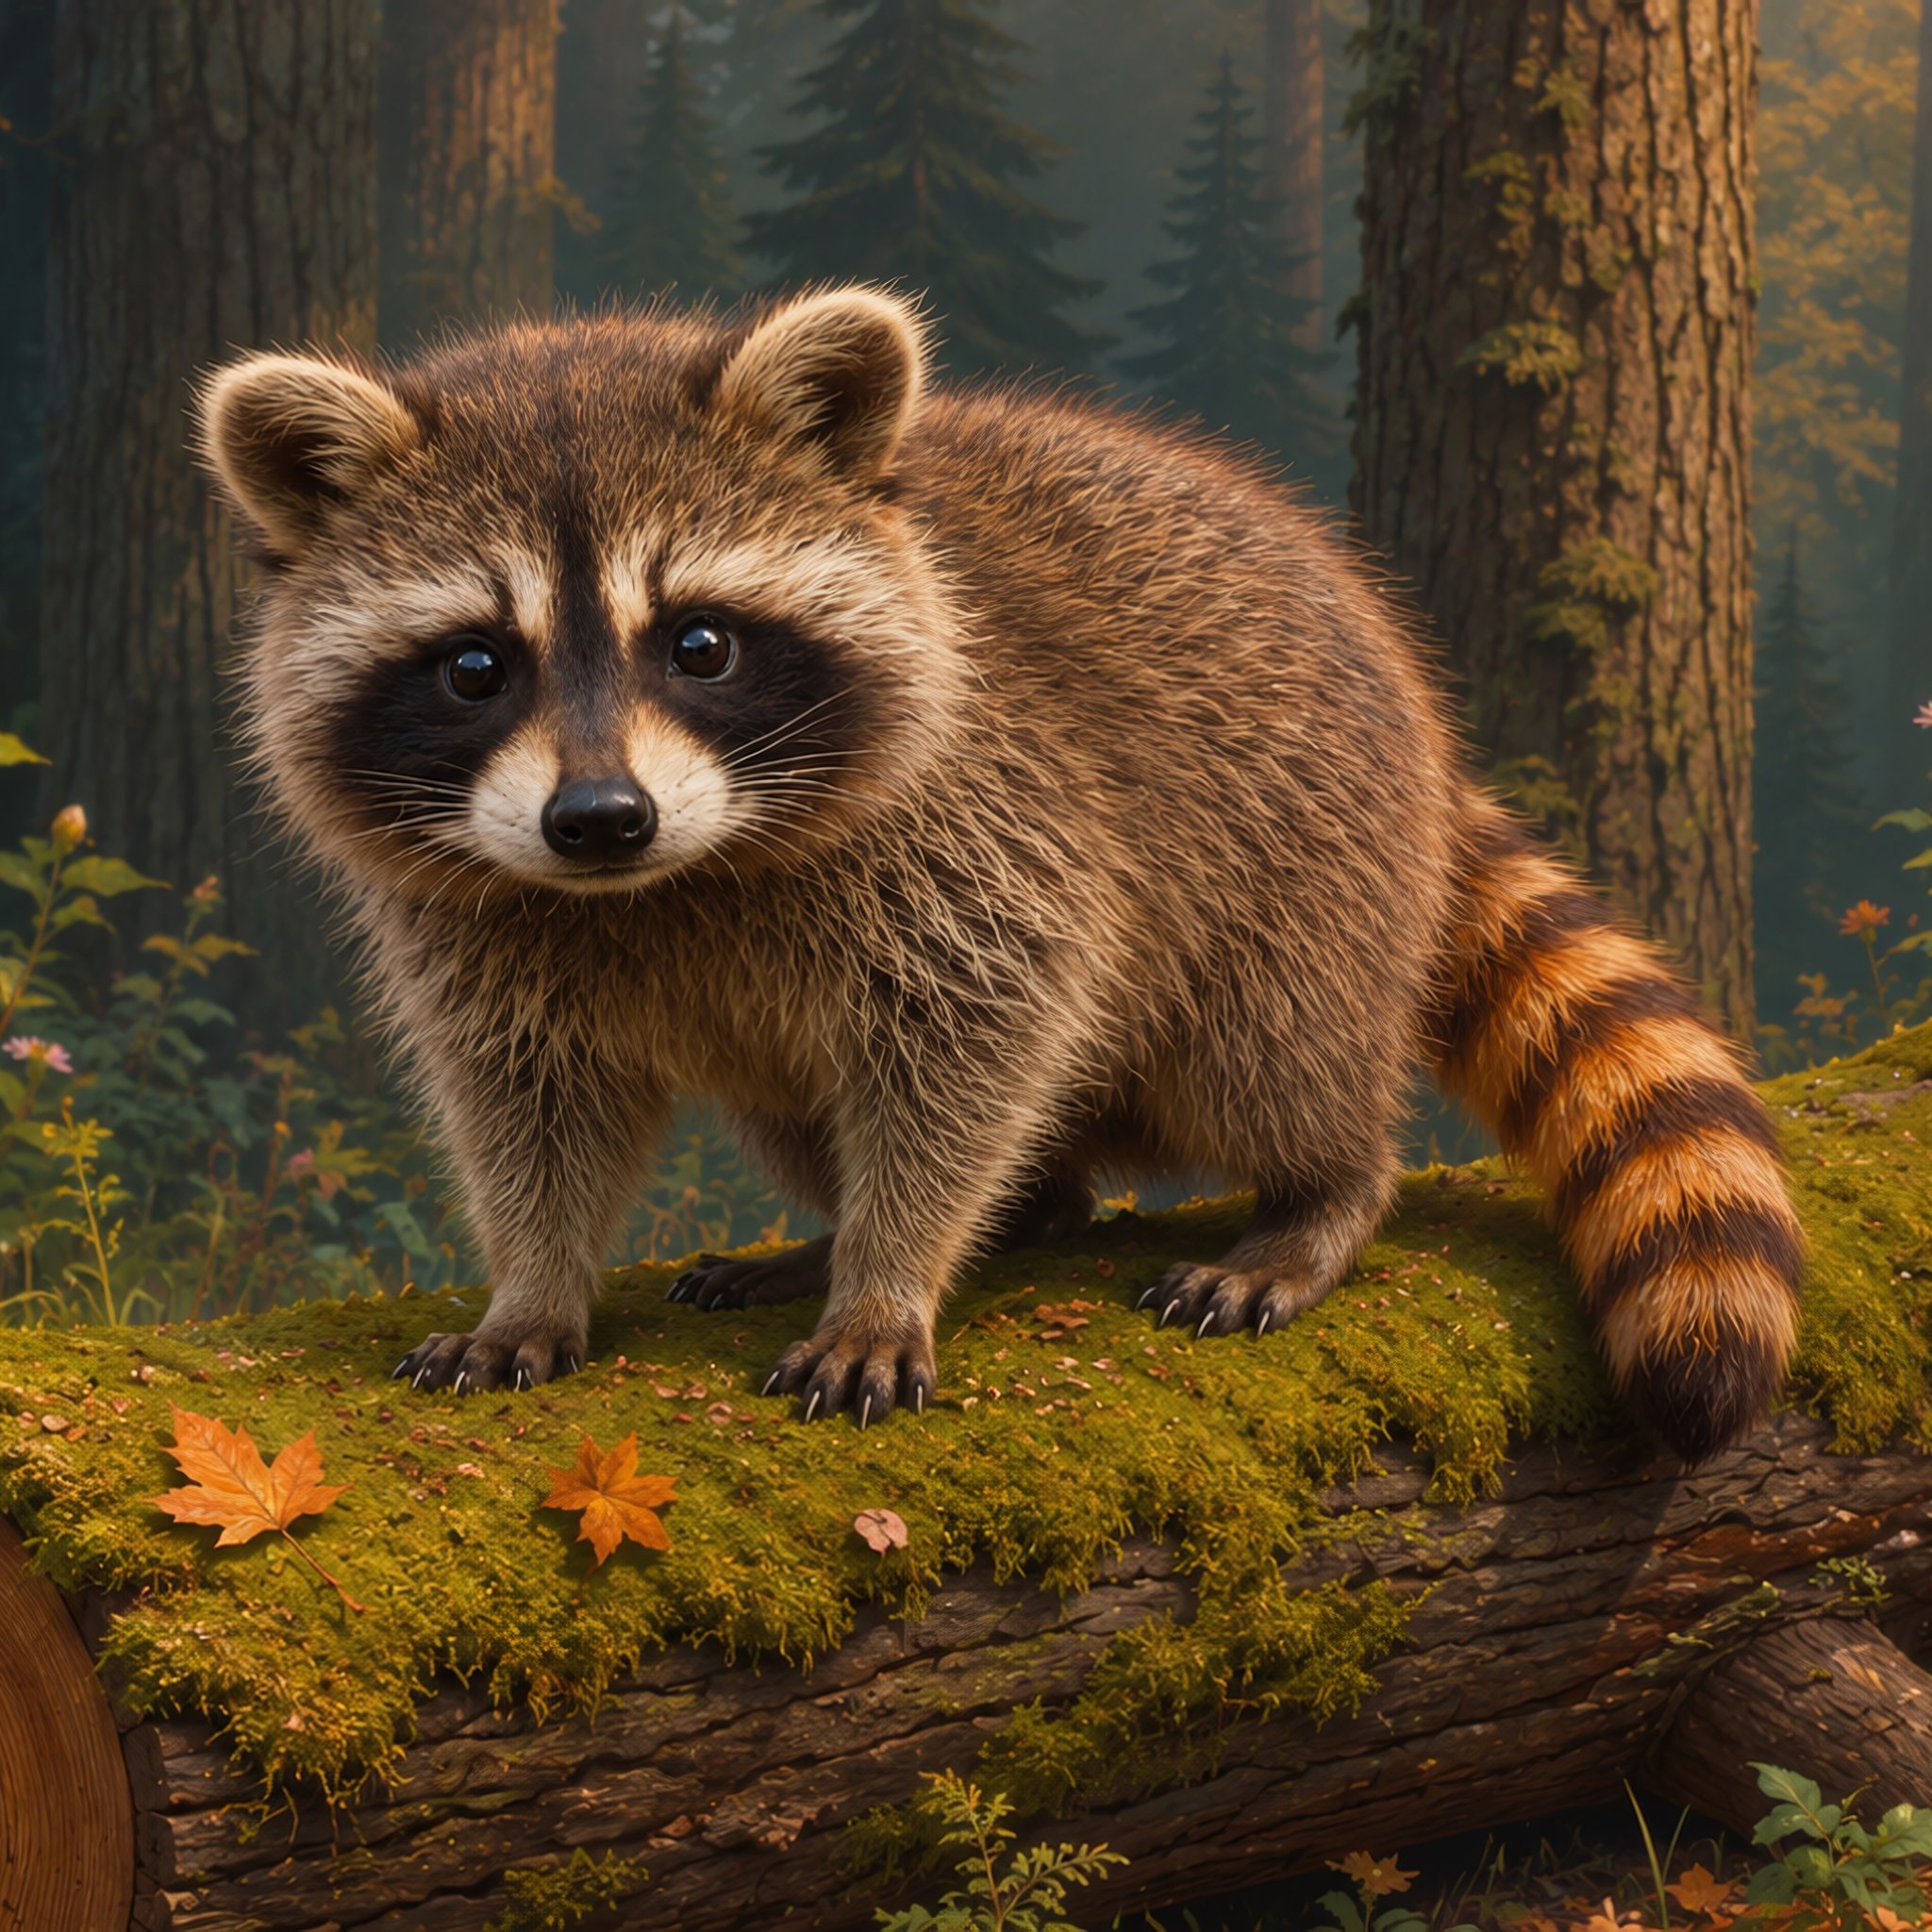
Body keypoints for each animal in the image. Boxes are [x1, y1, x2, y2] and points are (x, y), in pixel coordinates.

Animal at [196, 287, 1802, 1459]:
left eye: (698, 643)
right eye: (476, 666)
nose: (599, 819)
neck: (670, 881)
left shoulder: (988, 824)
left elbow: (972, 1049)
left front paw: (892, 1273)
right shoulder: (480, 915)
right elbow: (526, 1099)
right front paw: (535, 1279)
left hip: (1306, 870)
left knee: (1269, 1060)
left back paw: (1323, 1192)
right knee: (822, 1116)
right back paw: (895, 1221)